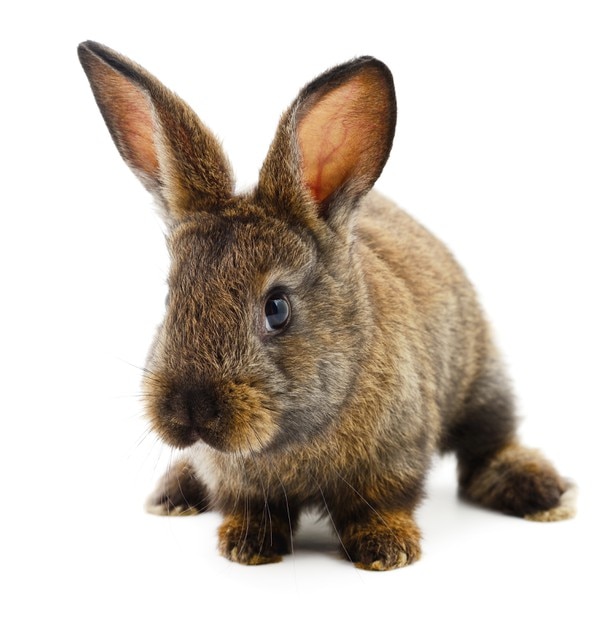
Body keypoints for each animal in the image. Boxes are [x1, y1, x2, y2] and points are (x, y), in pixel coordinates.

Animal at [79, 37, 576, 564]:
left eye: (276, 308)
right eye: (171, 295)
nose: (189, 409)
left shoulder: (394, 459)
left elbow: (380, 505)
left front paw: (386, 551)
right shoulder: (238, 481)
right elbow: (253, 508)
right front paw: (249, 546)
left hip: (481, 380)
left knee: (489, 446)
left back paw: (542, 494)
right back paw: (172, 495)